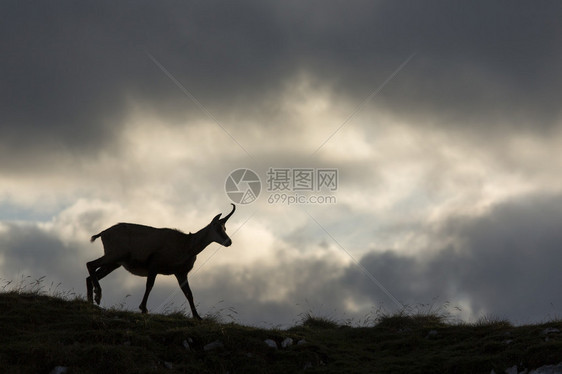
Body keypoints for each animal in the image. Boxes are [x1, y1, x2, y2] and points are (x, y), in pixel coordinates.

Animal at [86, 205, 234, 318]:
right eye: (217, 227)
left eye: (225, 228)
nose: (229, 242)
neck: (187, 245)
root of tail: (103, 233)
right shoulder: (154, 265)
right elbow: (149, 285)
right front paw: (143, 308)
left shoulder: (181, 273)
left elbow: (189, 293)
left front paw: (198, 317)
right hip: (113, 255)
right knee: (90, 264)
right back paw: (97, 296)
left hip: (114, 263)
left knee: (90, 275)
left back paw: (91, 302)